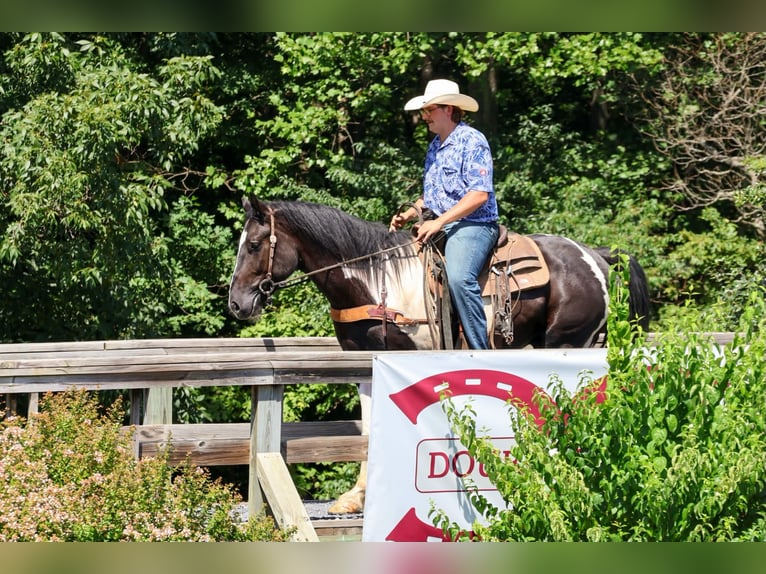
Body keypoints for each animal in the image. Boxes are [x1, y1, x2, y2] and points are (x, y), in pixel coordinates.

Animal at [228, 196, 650, 514]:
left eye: (254, 245)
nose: (236, 304)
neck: (377, 281)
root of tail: (594, 255)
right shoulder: (364, 363)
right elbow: (367, 430)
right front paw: (355, 497)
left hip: (567, 342)